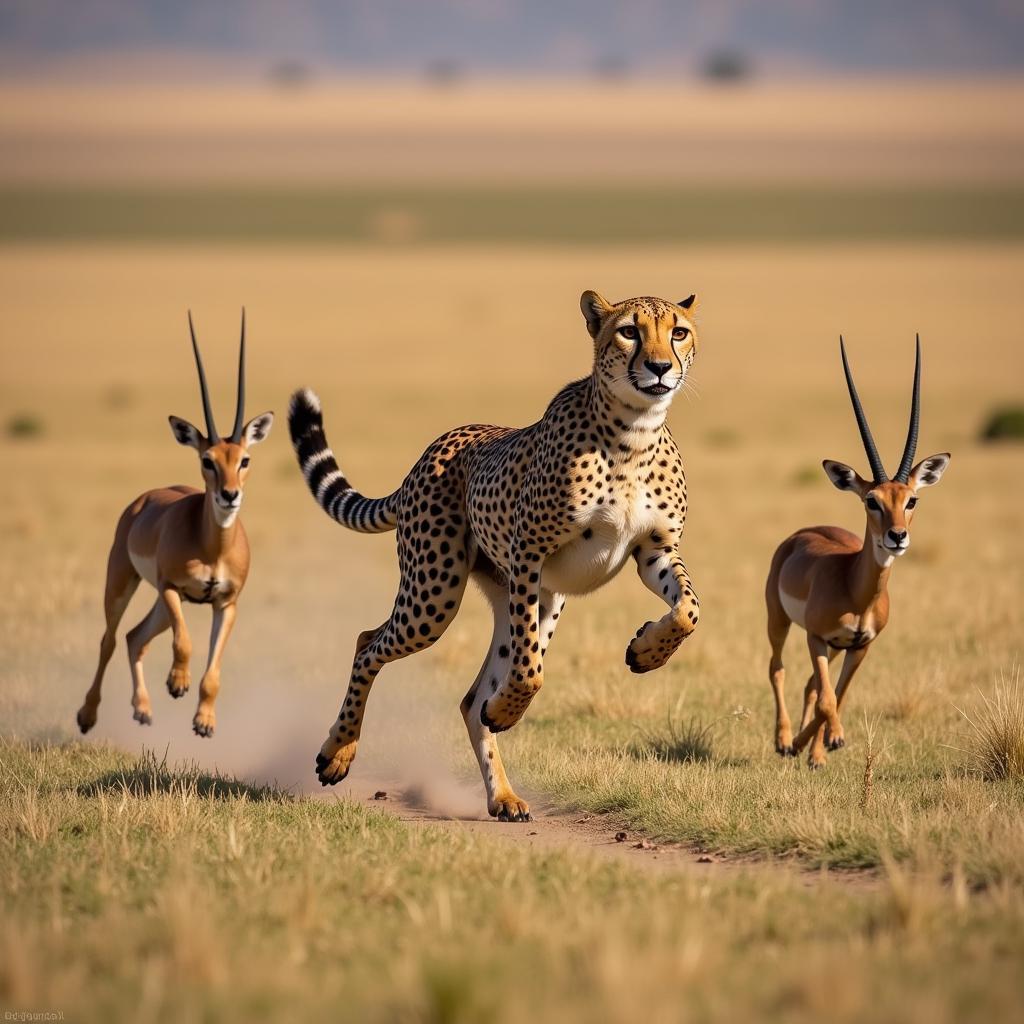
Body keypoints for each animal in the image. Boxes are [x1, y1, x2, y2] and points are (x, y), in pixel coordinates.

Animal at [292, 292, 700, 819]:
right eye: (629, 331)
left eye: (678, 332)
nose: (659, 367)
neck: (633, 435)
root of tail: (437, 445)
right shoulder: (529, 552)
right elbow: (529, 671)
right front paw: (508, 709)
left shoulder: (655, 552)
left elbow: (688, 610)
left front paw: (647, 651)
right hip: (436, 594)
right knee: (368, 643)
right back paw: (337, 752)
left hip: (532, 597)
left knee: (471, 700)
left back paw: (502, 795)